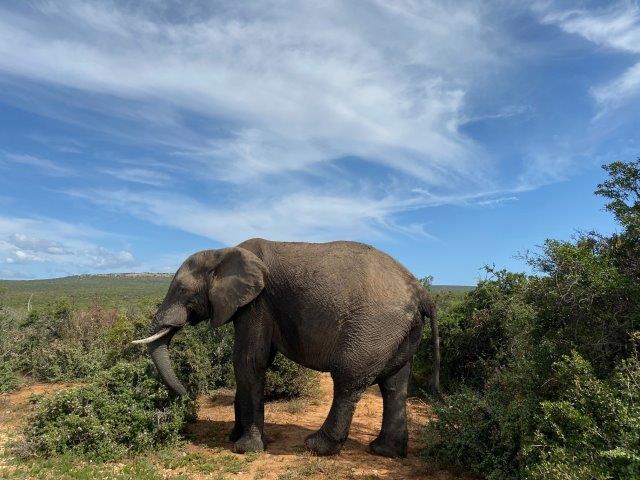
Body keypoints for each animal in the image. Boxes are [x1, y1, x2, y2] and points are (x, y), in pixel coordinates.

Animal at [132, 239, 438, 458]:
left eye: (182, 290)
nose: (187, 397)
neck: (223, 252)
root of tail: (422, 292)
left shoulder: (258, 302)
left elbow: (247, 361)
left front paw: (245, 448)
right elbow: (258, 361)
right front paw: (235, 437)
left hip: (375, 324)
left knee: (349, 379)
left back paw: (316, 446)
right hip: (402, 329)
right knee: (395, 383)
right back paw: (385, 452)